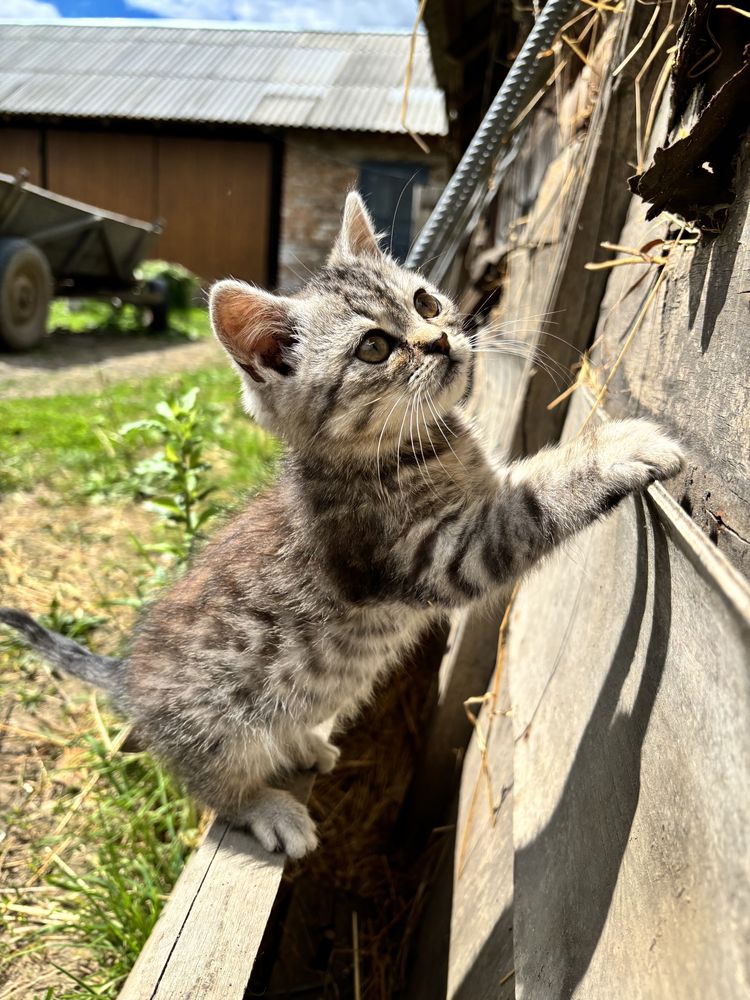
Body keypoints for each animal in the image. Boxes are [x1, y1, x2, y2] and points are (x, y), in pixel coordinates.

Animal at [0, 193, 684, 860]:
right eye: (374, 348)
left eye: (425, 302)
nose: (441, 340)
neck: (413, 450)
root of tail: (127, 675)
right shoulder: (431, 553)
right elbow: (533, 503)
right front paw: (617, 448)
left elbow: (519, 482)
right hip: (218, 728)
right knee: (215, 787)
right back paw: (268, 808)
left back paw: (302, 742)